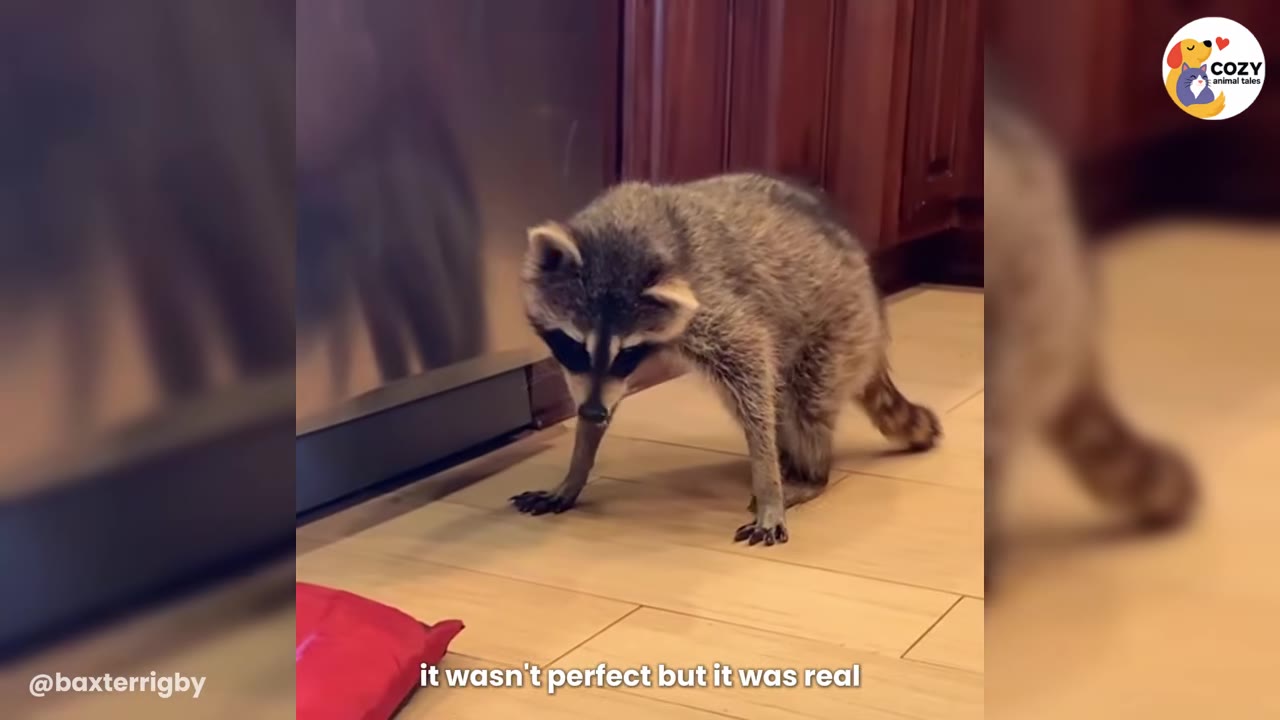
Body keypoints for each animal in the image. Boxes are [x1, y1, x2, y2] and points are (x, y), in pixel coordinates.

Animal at [512, 173, 941, 546]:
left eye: (627, 352)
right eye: (574, 346)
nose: (592, 413)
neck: (632, 228)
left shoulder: (712, 302)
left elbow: (752, 363)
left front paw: (768, 487)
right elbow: (603, 395)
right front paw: (577, 467)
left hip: (837, 330)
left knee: (802, 402)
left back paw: (810, 472)